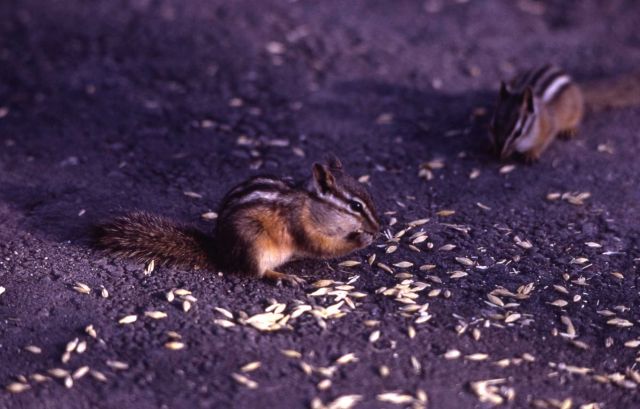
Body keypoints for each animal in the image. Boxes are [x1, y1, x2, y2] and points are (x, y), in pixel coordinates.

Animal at [94, 156, 381, 286]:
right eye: (356, 206)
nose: (378, 229)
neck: (312, 205)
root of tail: (222, 253)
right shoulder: (302, 226)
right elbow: (321, 247)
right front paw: (361, 240)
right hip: (255, 244)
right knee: (258, 272)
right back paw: (282, 275)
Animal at [489, 64, 640, 162]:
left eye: (518, 132)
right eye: (493, 127)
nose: (499, 154)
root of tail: (576, 86)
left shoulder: (549, 127)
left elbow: (544, 141)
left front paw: (532, 153)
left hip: (574, 109)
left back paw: (569, 129)